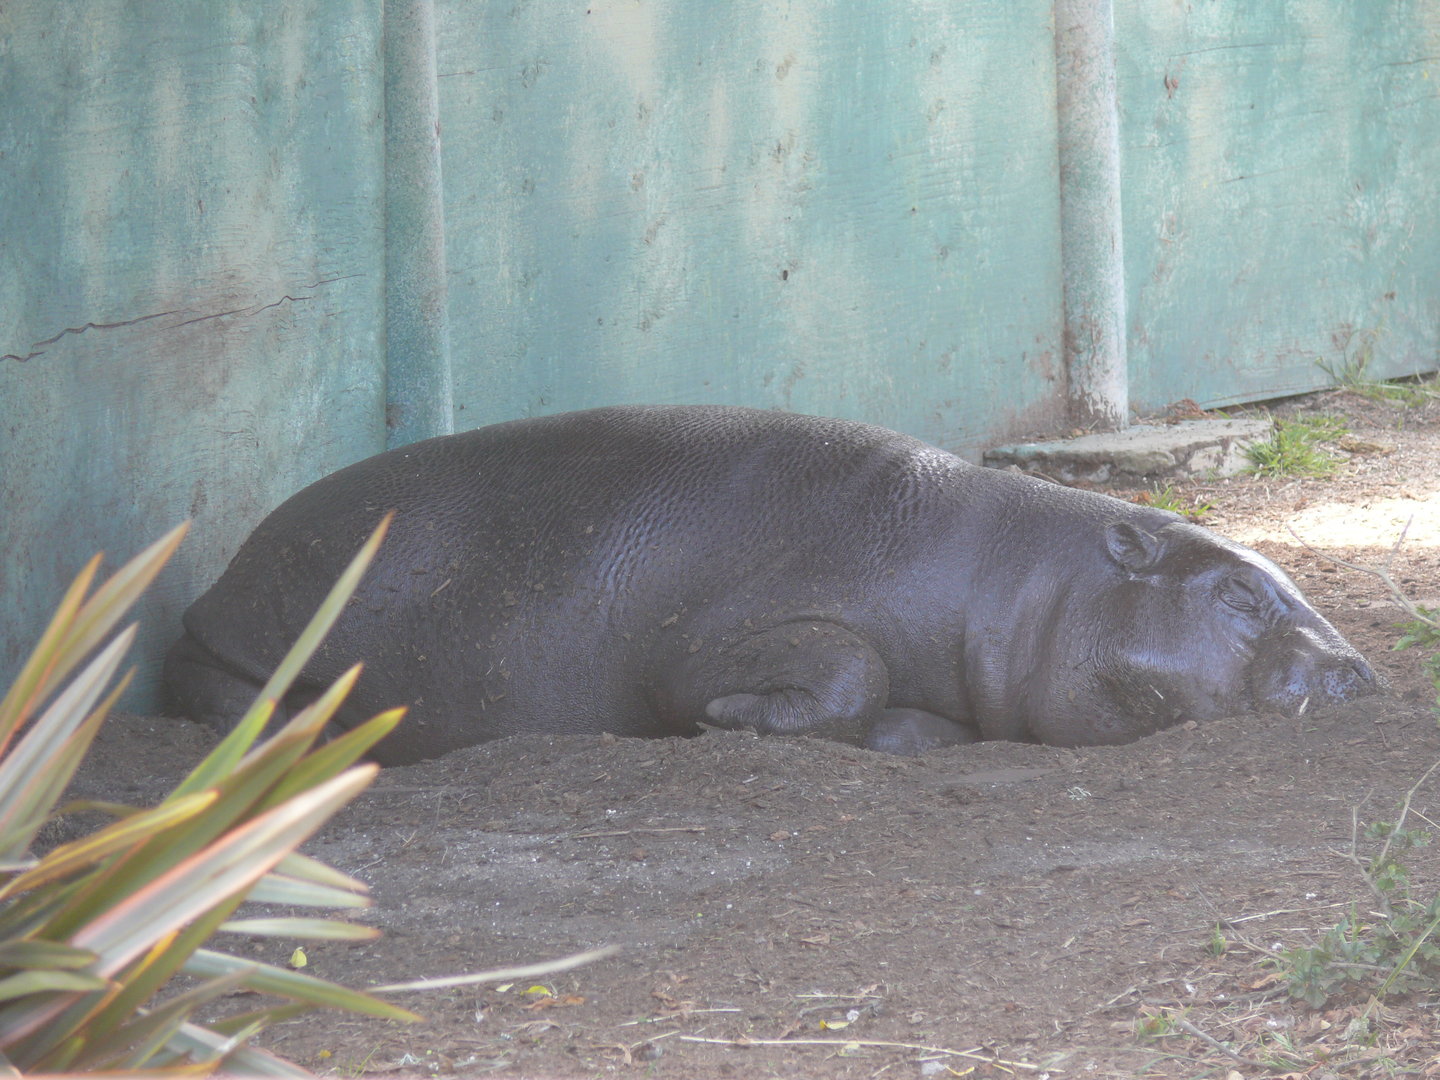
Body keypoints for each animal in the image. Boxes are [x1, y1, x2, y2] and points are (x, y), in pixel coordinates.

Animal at [163, 405, 1378, 764]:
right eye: (1238, 595)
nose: (1358, 671)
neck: (1018, 574)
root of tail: (215, 581)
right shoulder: (718, 630)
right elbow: (841, 666)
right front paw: (729, 719)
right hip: (249, 654)